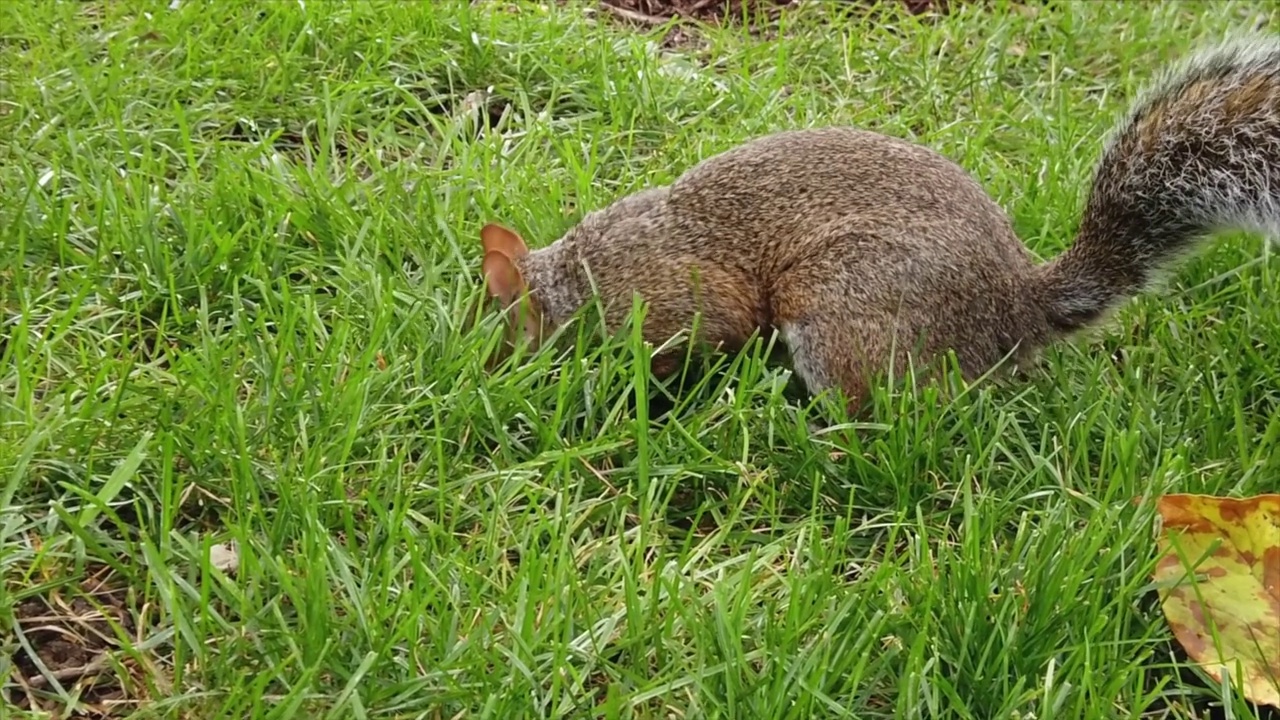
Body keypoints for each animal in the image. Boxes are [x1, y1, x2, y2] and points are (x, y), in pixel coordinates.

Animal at [476, 35, 1280, 415]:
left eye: (499, 333)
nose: (481, 376)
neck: (579, 277)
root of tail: (1015, 307)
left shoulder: (676, 302)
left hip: (841, 308)